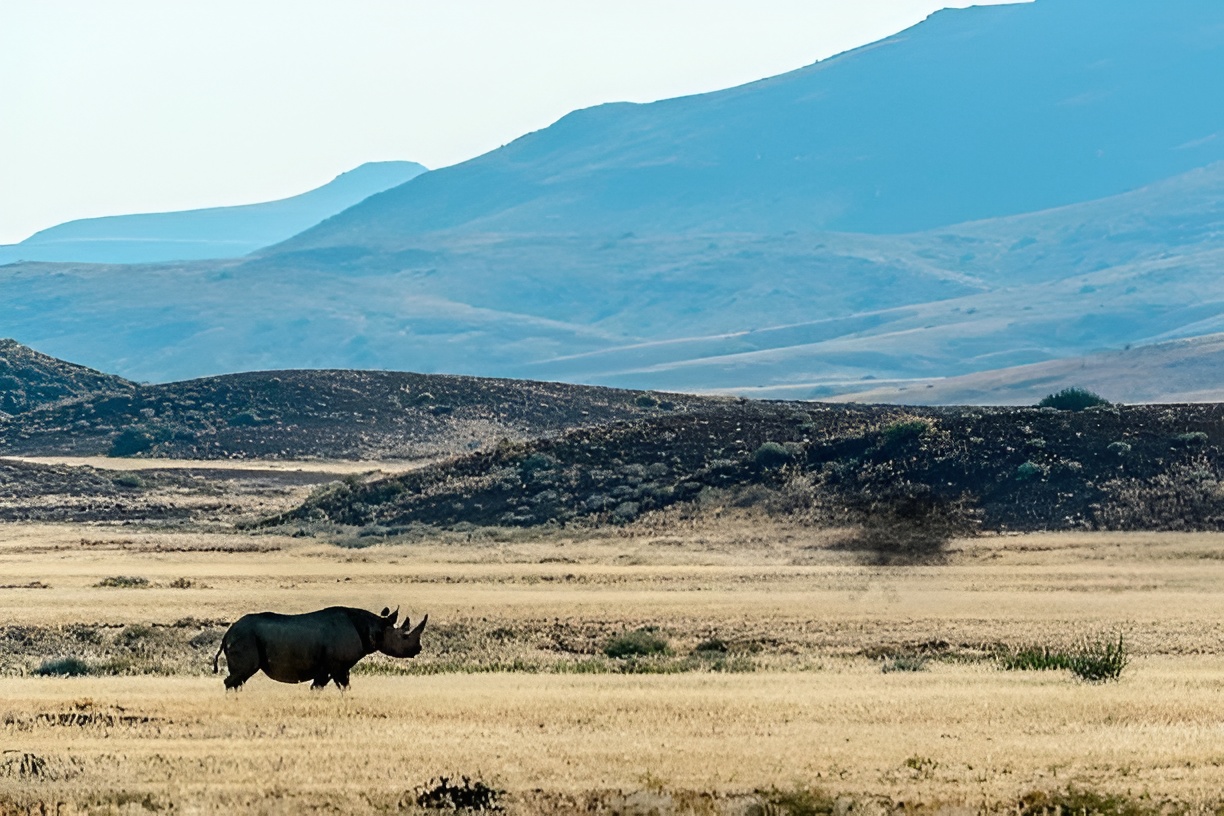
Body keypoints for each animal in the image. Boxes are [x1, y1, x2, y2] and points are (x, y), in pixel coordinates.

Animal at [212, 606, 427, 691]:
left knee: (239, 678)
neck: (375, 628)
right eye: (404, 636)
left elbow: (324, 687)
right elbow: (339, 686)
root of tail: (227, 634)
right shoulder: (336, 666)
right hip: (244, 637)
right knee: (240, 675)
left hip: (242, 636)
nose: (418, 649)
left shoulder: (331, 668)